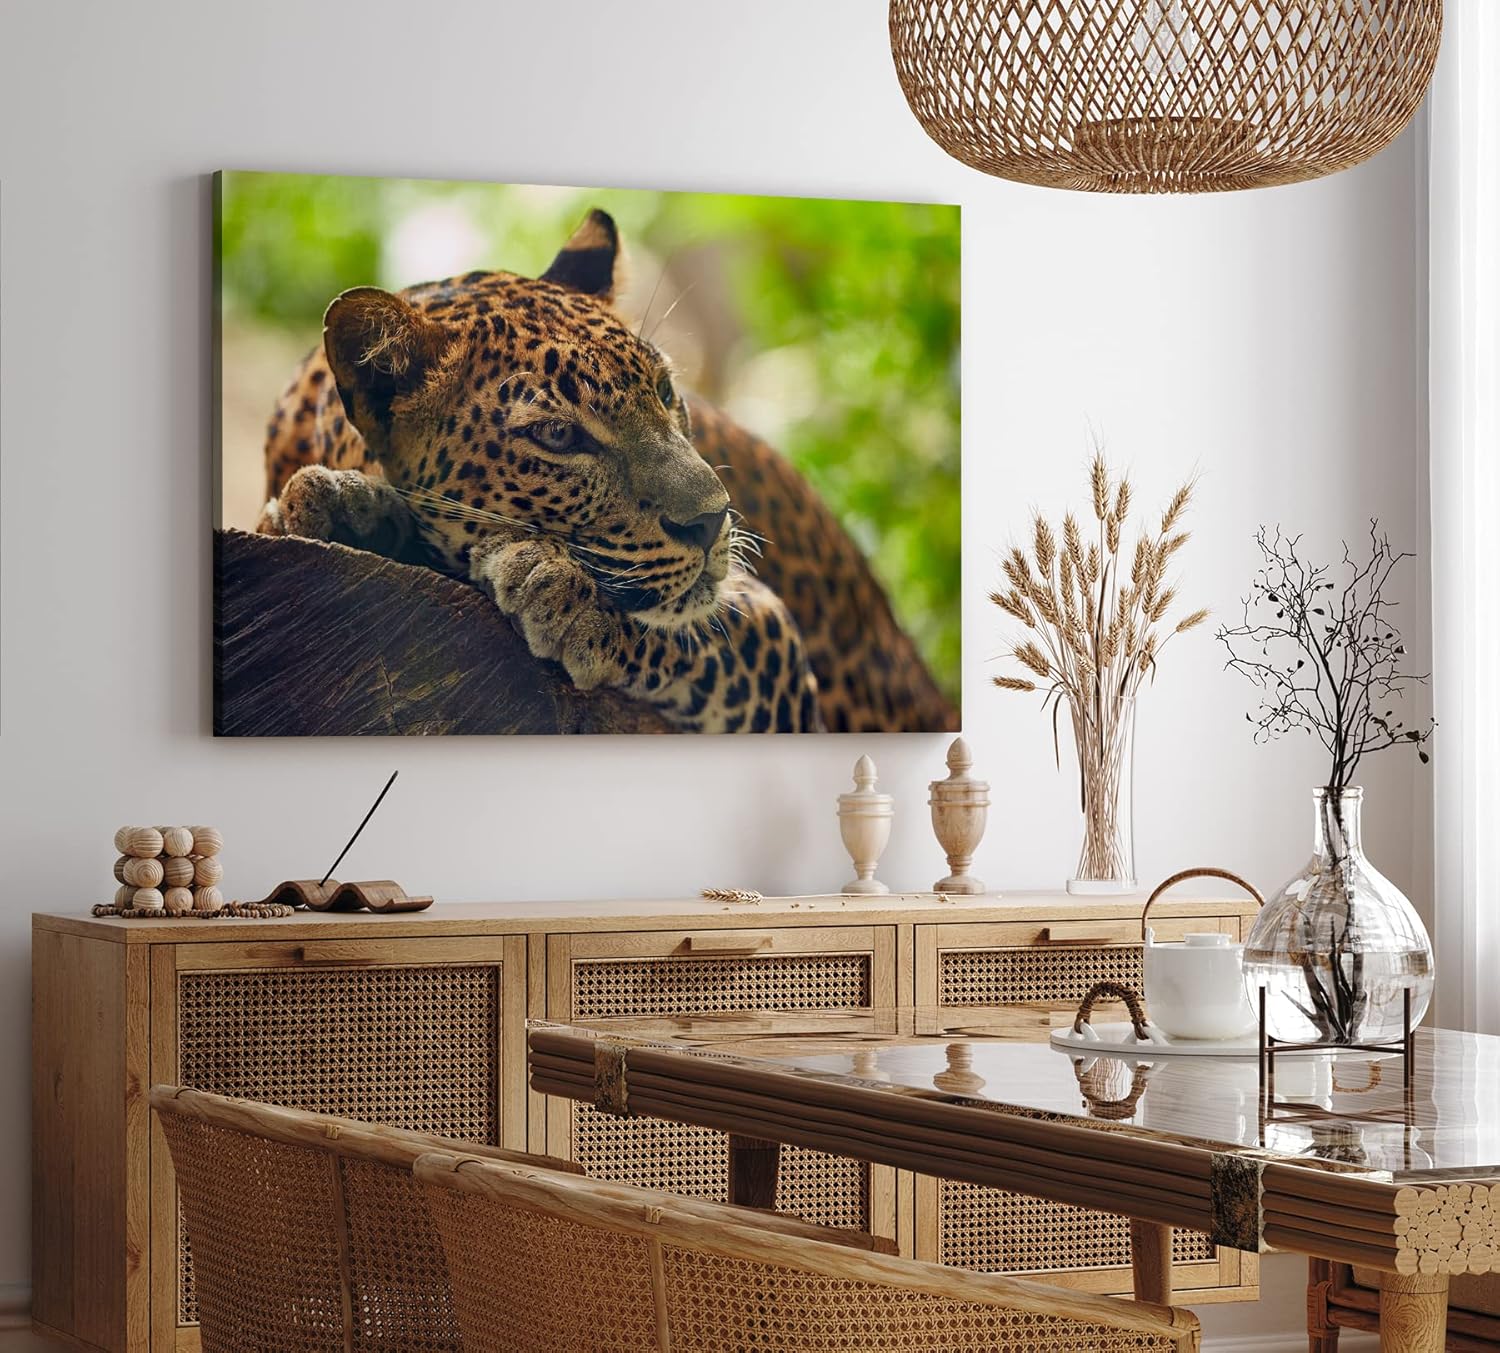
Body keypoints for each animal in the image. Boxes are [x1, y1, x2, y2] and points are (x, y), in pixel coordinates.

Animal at [257, 208, 957, 734]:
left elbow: (701, 629)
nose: (713, 519)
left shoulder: (773, 637)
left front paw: (565, 596)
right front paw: (338, 506)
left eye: (666, 391)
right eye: (558, 435)